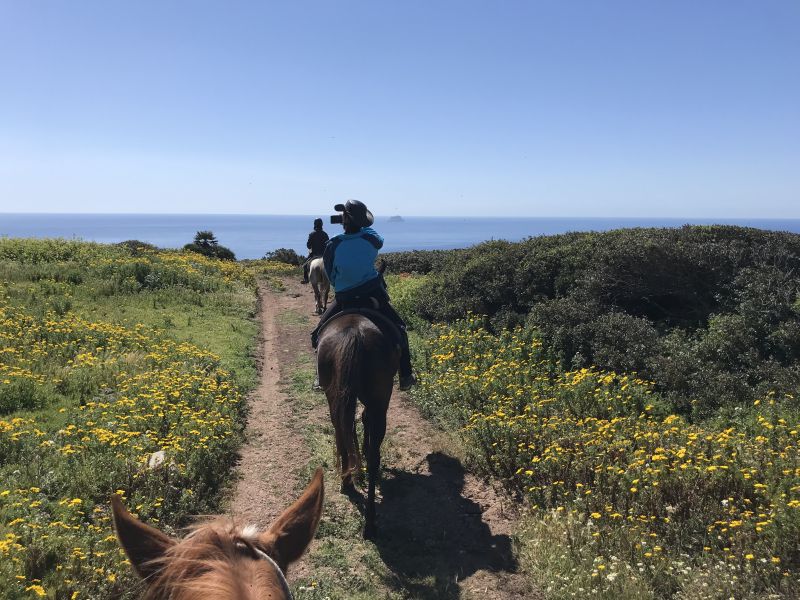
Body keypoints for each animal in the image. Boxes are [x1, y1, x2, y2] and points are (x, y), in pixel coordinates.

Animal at [316, 312, 396, 536]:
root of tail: (353, 333)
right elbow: (364, 420)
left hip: (335, 394)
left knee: (341, 430)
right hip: (379, 400)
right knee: (372, 454)